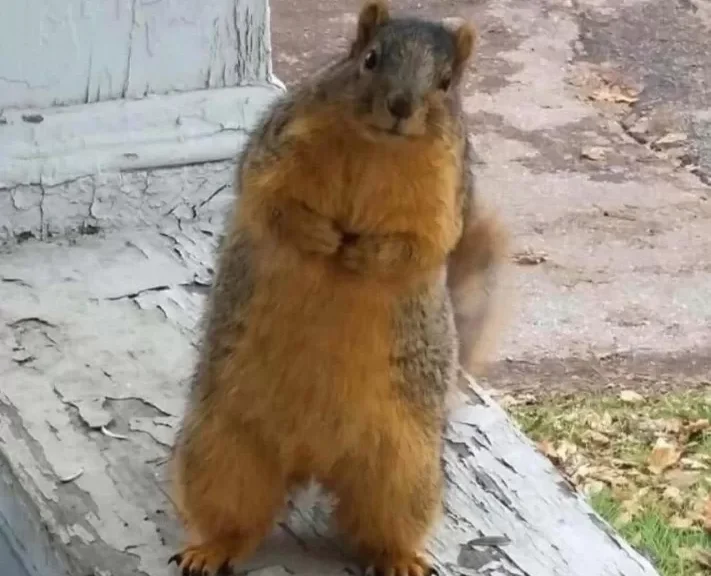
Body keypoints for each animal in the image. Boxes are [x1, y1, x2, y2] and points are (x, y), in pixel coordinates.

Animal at [169, 2, 508, 576]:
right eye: (369, 59)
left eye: (446, 83)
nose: (401, 106)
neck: (378, 148)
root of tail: (312, 460)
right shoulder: (277, 148)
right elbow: (272, 202)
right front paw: (321, 237)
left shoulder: (444, 194)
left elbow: (421, 245)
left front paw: (361, 254)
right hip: (220, 447)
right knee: (234, 515)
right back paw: (210, 549)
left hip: (404, 470)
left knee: (382, 524)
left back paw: (400, 558)